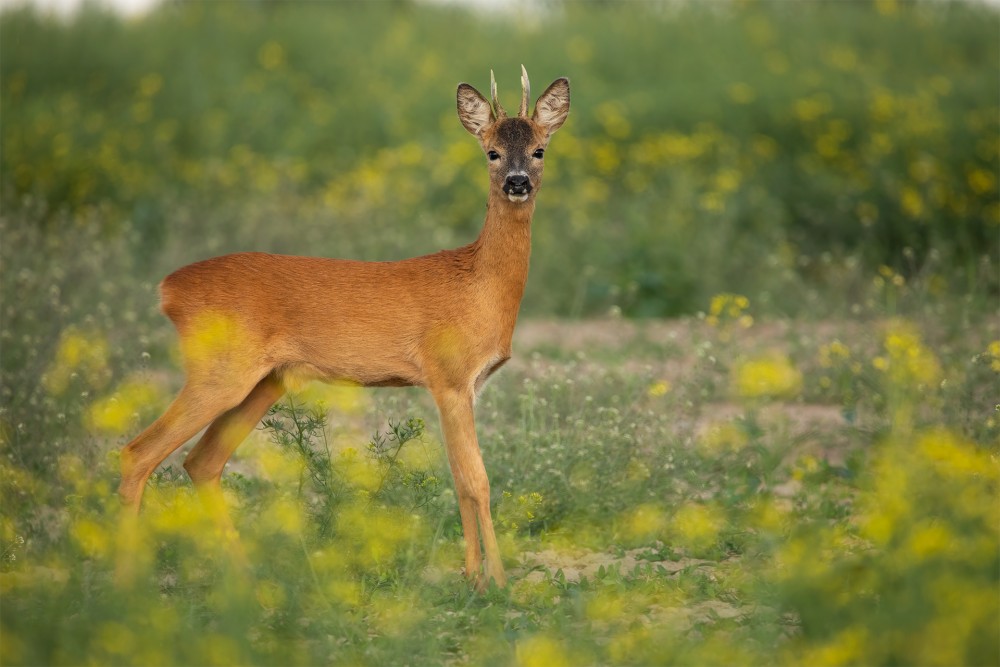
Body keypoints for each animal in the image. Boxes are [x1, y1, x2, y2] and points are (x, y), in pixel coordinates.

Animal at [117, 66, 572, 588]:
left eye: (539, 149)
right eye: (492, 152)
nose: (517, 182)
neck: (481, 285)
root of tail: (168, 289)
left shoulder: (463, 385)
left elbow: (460, 479)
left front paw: (473, 578)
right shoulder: (449, 376)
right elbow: (477, 479)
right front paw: (497, 582)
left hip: (264, 381)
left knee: (201, 460)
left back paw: (247, 579)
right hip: (219, 371)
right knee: (139, 452)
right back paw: (125, 583)